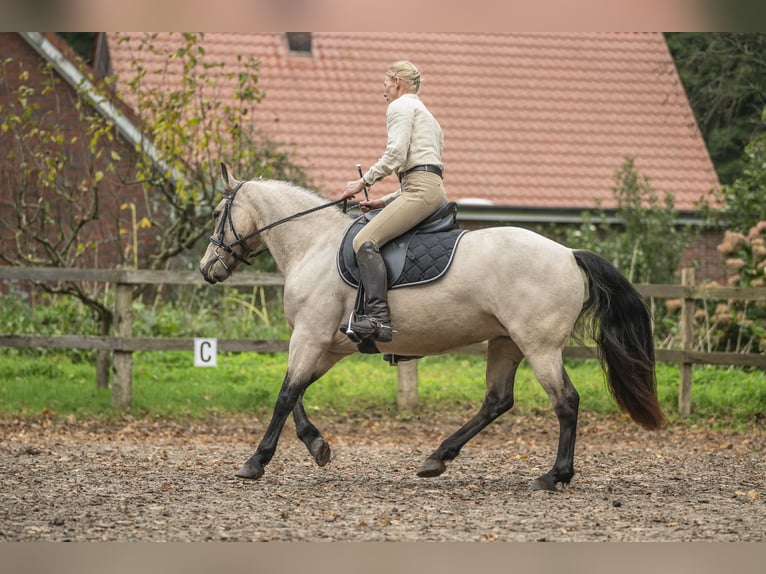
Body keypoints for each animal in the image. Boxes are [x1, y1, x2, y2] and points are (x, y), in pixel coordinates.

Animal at [201, 164, 668, 492]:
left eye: (219, 212)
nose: (208, 268)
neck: (313, 245)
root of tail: (569, 254)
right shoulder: (328, 345)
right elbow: (295, 392)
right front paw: (317, 446)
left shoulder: (310, 336)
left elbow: (285, 394)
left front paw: (255, 462)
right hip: (506, 342)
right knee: (497, 401)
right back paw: (438, 457)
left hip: (540, 346)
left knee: (565, 402)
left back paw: (554, 476)